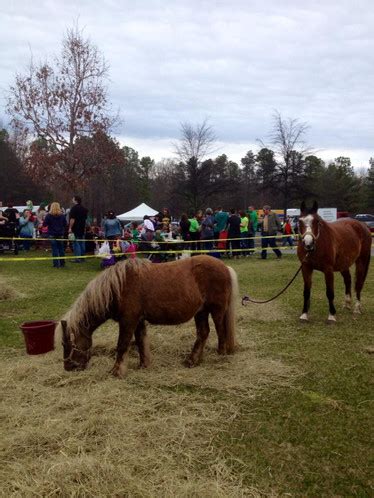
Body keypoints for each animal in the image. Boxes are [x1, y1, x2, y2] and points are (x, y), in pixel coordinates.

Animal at [57, 255, 238, 376]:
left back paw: (220, 356)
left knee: (220, 331)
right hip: (200, 312)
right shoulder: (138, 321)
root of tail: (224, 266)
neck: (118, 287)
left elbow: (122, 344)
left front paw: (116, 371)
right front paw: (144, 365)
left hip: (216, 311)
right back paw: (192, 361)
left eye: (68, 344)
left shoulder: (128, 321)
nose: (68, 367)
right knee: (203, 333)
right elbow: (140, 342)